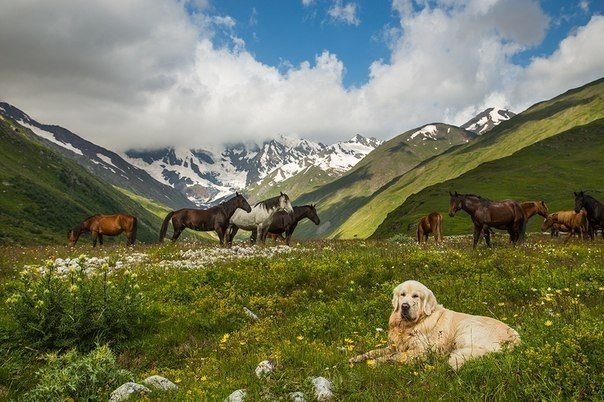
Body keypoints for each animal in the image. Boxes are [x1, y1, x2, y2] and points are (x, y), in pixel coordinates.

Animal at [352, 280, 520, 370]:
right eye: (402, 295)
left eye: (415, 296)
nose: (405, 306)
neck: (411, 325)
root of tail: (516, 338)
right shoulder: (395, 345)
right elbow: (375, 351)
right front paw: (357, 358)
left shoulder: (420, 350)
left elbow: (393, 356)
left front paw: (375, 363)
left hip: (466, 327)